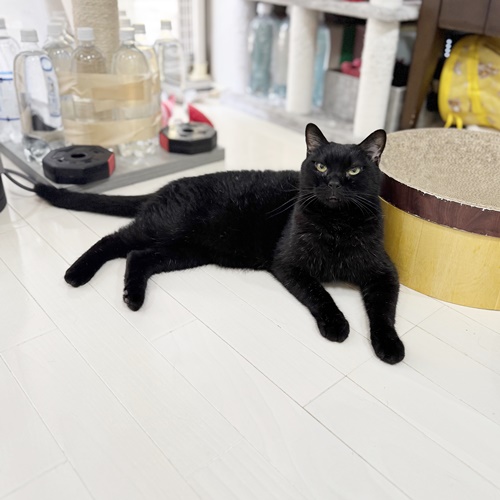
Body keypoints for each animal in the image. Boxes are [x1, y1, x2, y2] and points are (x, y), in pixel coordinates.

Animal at [34, 123, 405, 364]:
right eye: (321, 165)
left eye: (354, 171)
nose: (333, 183)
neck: (337, 226)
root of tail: (166, 187)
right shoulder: (289, 264)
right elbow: (321, 295)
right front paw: (337, 325)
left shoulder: (383, 273)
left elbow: (384, 311)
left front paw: (390, 345)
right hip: (164, 229)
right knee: (112, 240)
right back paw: (76, 274)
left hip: (183, 251)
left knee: (138, 257)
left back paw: (133, 298)